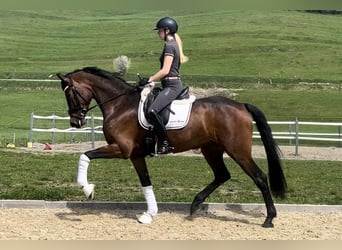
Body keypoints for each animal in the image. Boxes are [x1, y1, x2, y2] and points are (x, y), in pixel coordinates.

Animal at [57, 65, 288, 228]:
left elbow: (85, 155)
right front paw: (149, 214)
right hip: (211, 149)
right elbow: (146, 183)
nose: (75, 122)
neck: (120, 105)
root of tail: (241, 105)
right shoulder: (136, 155)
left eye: (70, 93)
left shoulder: (121, 149)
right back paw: (195, 204)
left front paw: (87, 190)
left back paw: (269, 219)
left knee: (259, 178)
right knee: (222, 175)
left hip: (238, 151)